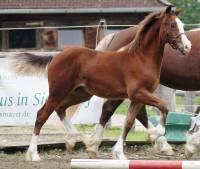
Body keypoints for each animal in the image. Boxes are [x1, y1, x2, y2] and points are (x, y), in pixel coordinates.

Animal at [9, 5, 191, 161]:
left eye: (181, 24)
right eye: (172, 25)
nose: (188, 47)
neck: (141, 58)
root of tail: (55, 57)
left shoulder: (138, 97)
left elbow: (129, 122)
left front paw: (119, 153)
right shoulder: (138, 93)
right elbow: (164, 107)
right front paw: (156, 133)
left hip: (81, 93)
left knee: (61, 109)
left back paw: (78, 139)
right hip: (58, 91)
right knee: (42, 114)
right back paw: (34, 154)